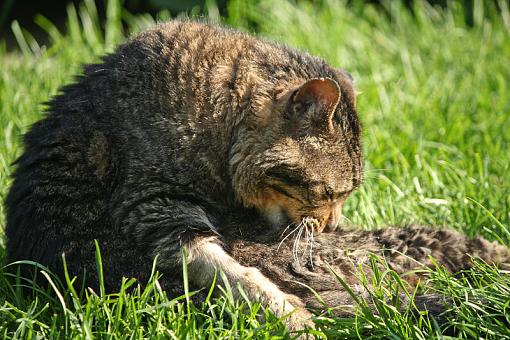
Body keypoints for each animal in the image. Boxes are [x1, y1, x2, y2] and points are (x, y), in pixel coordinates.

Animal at [3, 19, 362, 328]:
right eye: (329, 192)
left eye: (347, 195)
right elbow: (230, 271)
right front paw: (288, 313)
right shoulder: (153, 208)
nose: (333, 225)